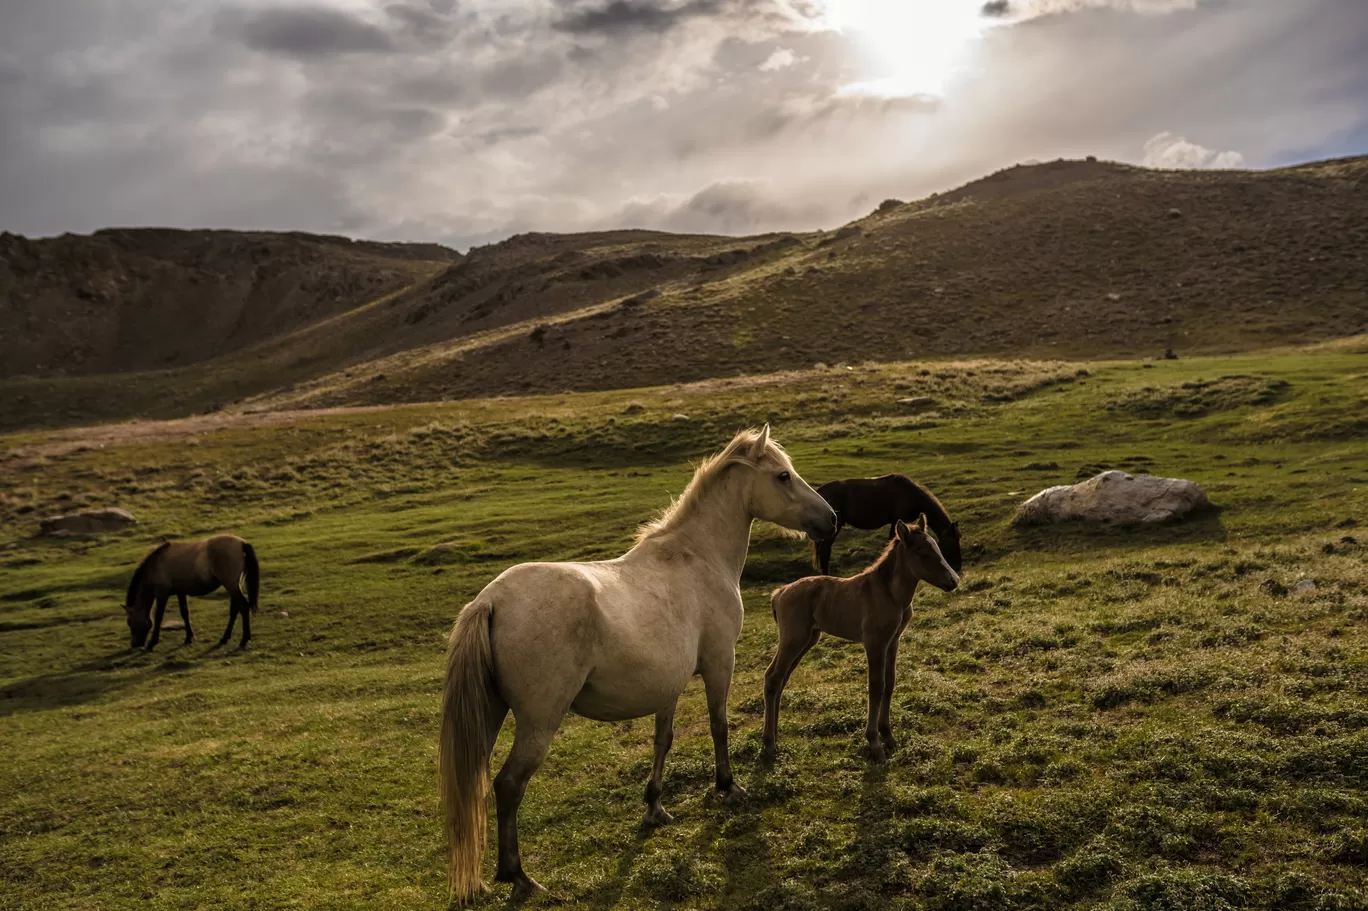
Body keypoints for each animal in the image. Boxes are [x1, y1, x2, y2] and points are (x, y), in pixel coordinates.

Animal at [127, 533, 259, 653]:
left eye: (129, 622)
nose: (134, 644)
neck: (156, 565)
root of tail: (242, 543)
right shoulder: (180, 592)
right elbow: (184, 613)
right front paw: (188, 638)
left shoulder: (162, 594)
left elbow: (159, 617)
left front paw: (152, 643)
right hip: (234, 586)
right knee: (235, 610)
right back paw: (224, 639)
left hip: (231, 585)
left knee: (243, 607)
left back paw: (244, 640)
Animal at [443, 421, 837, 897]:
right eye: (782, 476)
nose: (831, 519)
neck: (697, 557)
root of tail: (491, 600)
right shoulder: (720, 664)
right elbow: (719, 726)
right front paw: (728, 786)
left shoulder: (668, 685)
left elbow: (662, 740)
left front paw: (654, 808)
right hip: (539, 722)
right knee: (508, 785)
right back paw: (519, 876)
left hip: (491, 714)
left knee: (483, 785)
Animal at [760, 514, 963, 760]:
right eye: (923, 552)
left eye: (937, 547)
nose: (953, 580)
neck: (889, 594)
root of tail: (779, 593)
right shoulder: (875, 642)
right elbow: (876, 685)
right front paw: (875, 744)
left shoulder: (892, 642)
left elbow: (890, 683)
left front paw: (889, 737)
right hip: (793, 639)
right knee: (773, 678)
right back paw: (769, 744)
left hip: (807, 640)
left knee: (781, 679)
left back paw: (775, 737)